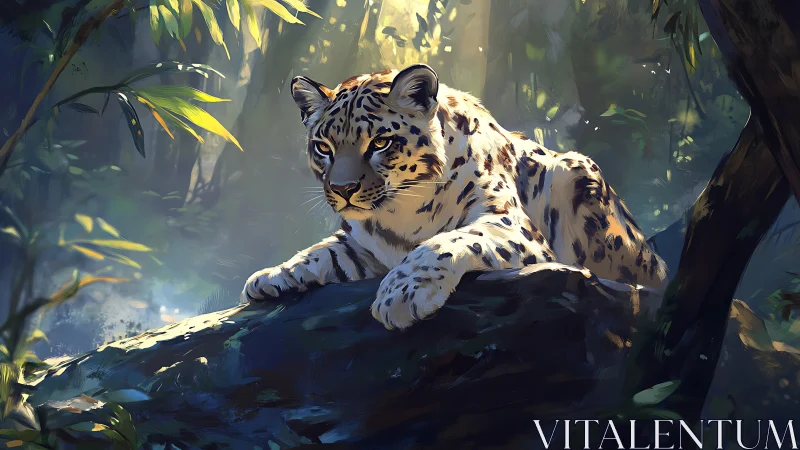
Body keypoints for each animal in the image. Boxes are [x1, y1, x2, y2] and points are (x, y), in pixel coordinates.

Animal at [241, 64, 668, 330]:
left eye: (380, 143)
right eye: (323, 147)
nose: (343, 190)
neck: (401, 211)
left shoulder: (509, 223)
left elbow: (447, 242)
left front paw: (400, 295)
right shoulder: (364, 244)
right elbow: (322, 251)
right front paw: (271, 275)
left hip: (579, 173)